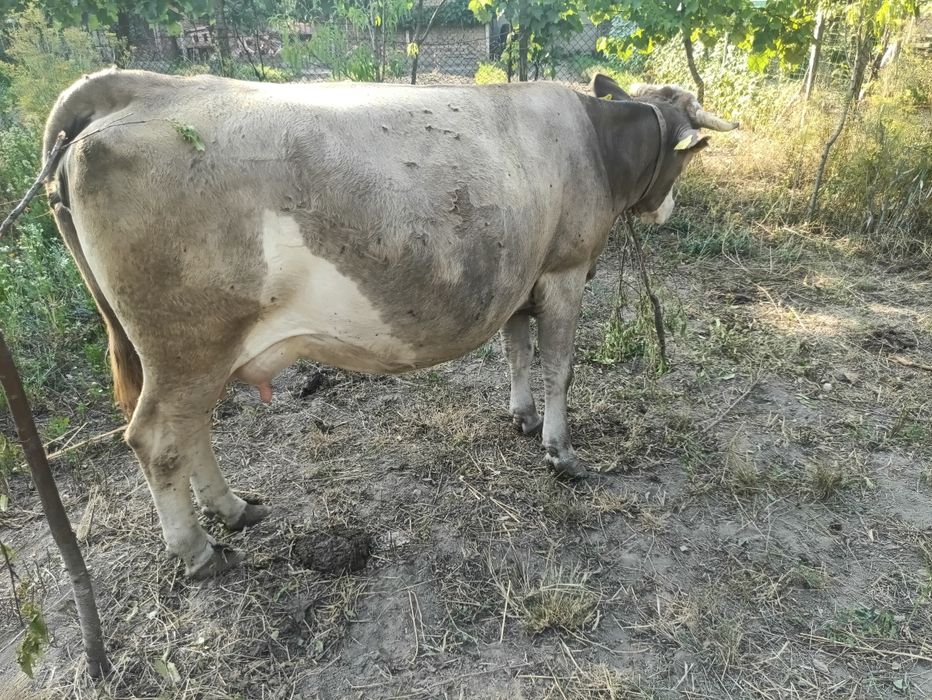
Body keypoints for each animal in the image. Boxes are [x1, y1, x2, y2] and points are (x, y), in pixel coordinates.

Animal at [43, 69, 736, 578]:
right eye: (686, 159)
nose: (666, 209)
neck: (593, 140)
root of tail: (146, 87)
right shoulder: (565, 270)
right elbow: (559, 368)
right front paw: (561, 452)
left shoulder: (522, 277)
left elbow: (517, 352)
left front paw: (521, 417)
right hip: (186, 343)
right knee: (158, 440)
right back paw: (199, 551)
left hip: (198, 353)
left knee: (192, 430)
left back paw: (235, 509)